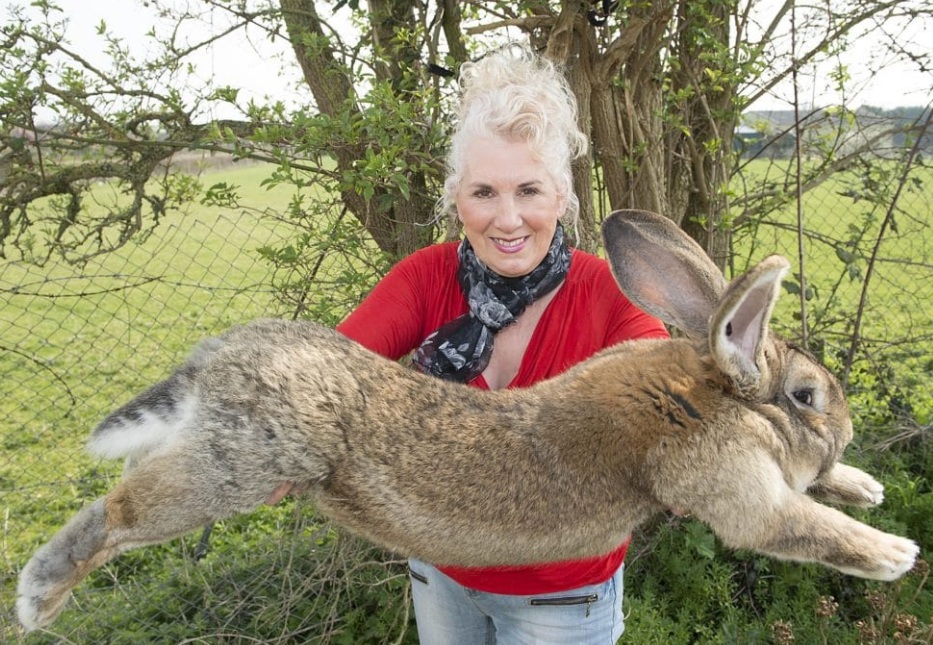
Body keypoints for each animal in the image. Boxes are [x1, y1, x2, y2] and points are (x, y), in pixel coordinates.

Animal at [16, 210, 916, 628]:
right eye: (806, 396)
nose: (843, 430)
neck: (708, 392)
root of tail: (216, 360)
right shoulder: (735, 490)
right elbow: (799, 525)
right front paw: (893, 551)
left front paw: (863, 485)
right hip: (236, 467)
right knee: (118, 511)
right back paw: (38, 598)